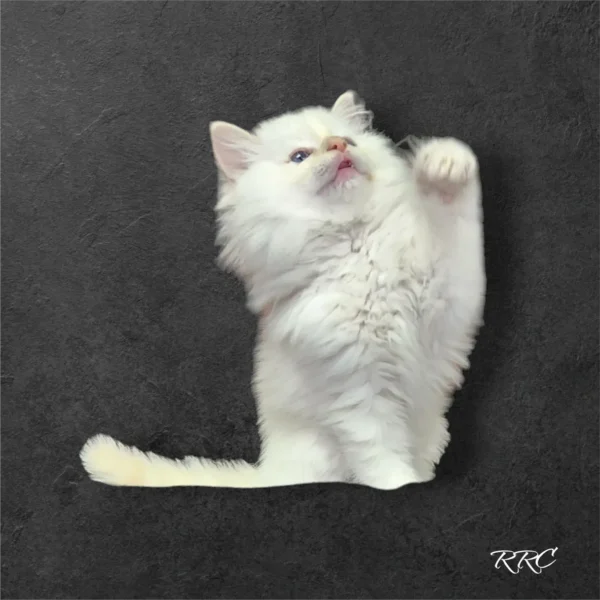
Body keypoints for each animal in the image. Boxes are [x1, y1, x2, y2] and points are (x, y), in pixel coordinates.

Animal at [79, 91, 486, 490]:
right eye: (300, 157)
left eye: (348, 141)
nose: (337, 144)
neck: (355, 250)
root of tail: (269, 473)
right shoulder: (356, 389)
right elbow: (382, 458)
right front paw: (403, 484)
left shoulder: (450, 297)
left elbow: (454, 218)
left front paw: (444, 162)